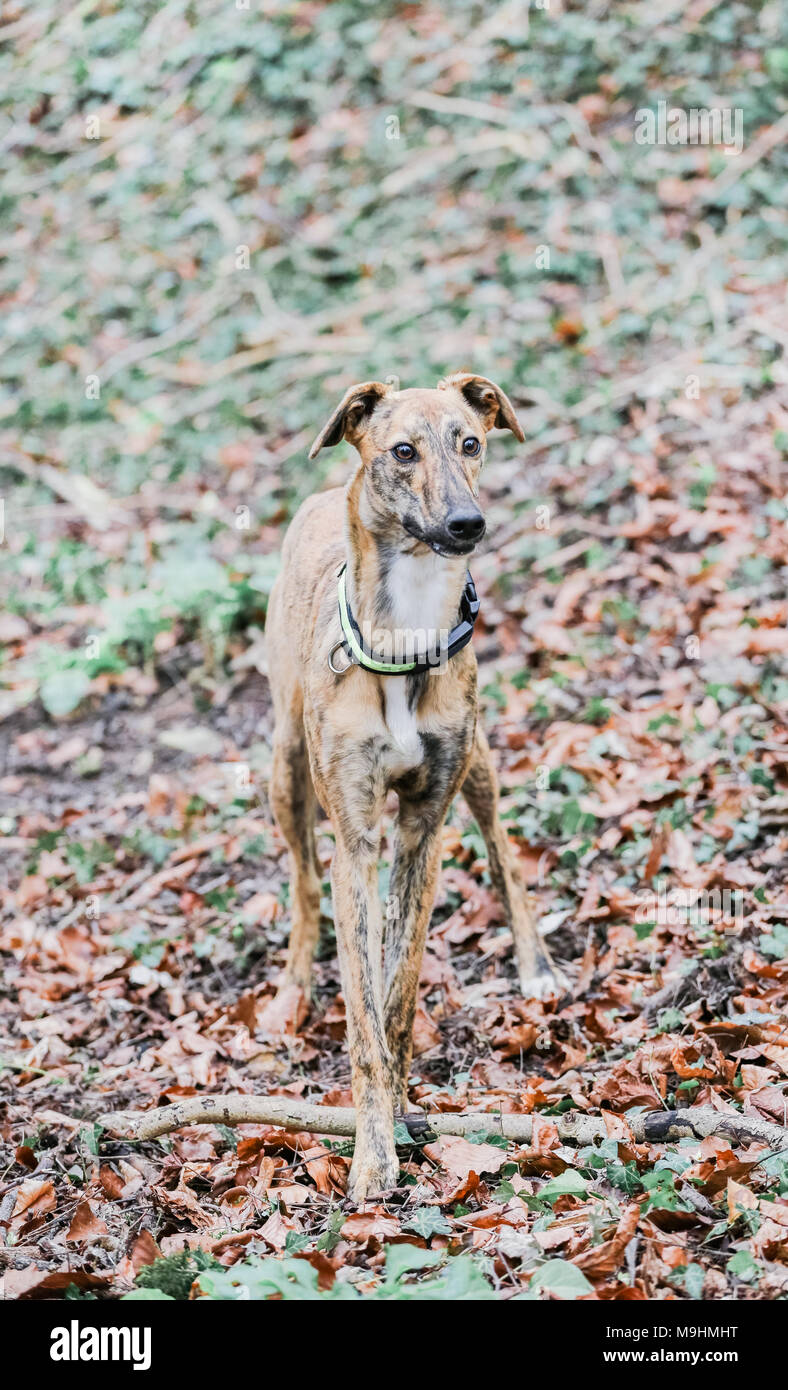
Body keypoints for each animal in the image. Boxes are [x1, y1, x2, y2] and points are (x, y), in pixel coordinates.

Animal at [268, 375, 564, 1200]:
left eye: (471, 442)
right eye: (403, 451)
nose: (468, 523)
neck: (406, 640)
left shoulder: (420, 831)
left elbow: (397, 993)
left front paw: (401, 1111)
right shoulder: (357, 841)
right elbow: (364, 1016)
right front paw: (372, 1155)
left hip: (482, 764)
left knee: (502, 853)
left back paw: (534, 965)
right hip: (285, 768)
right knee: (302, 882)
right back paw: (292, 986)